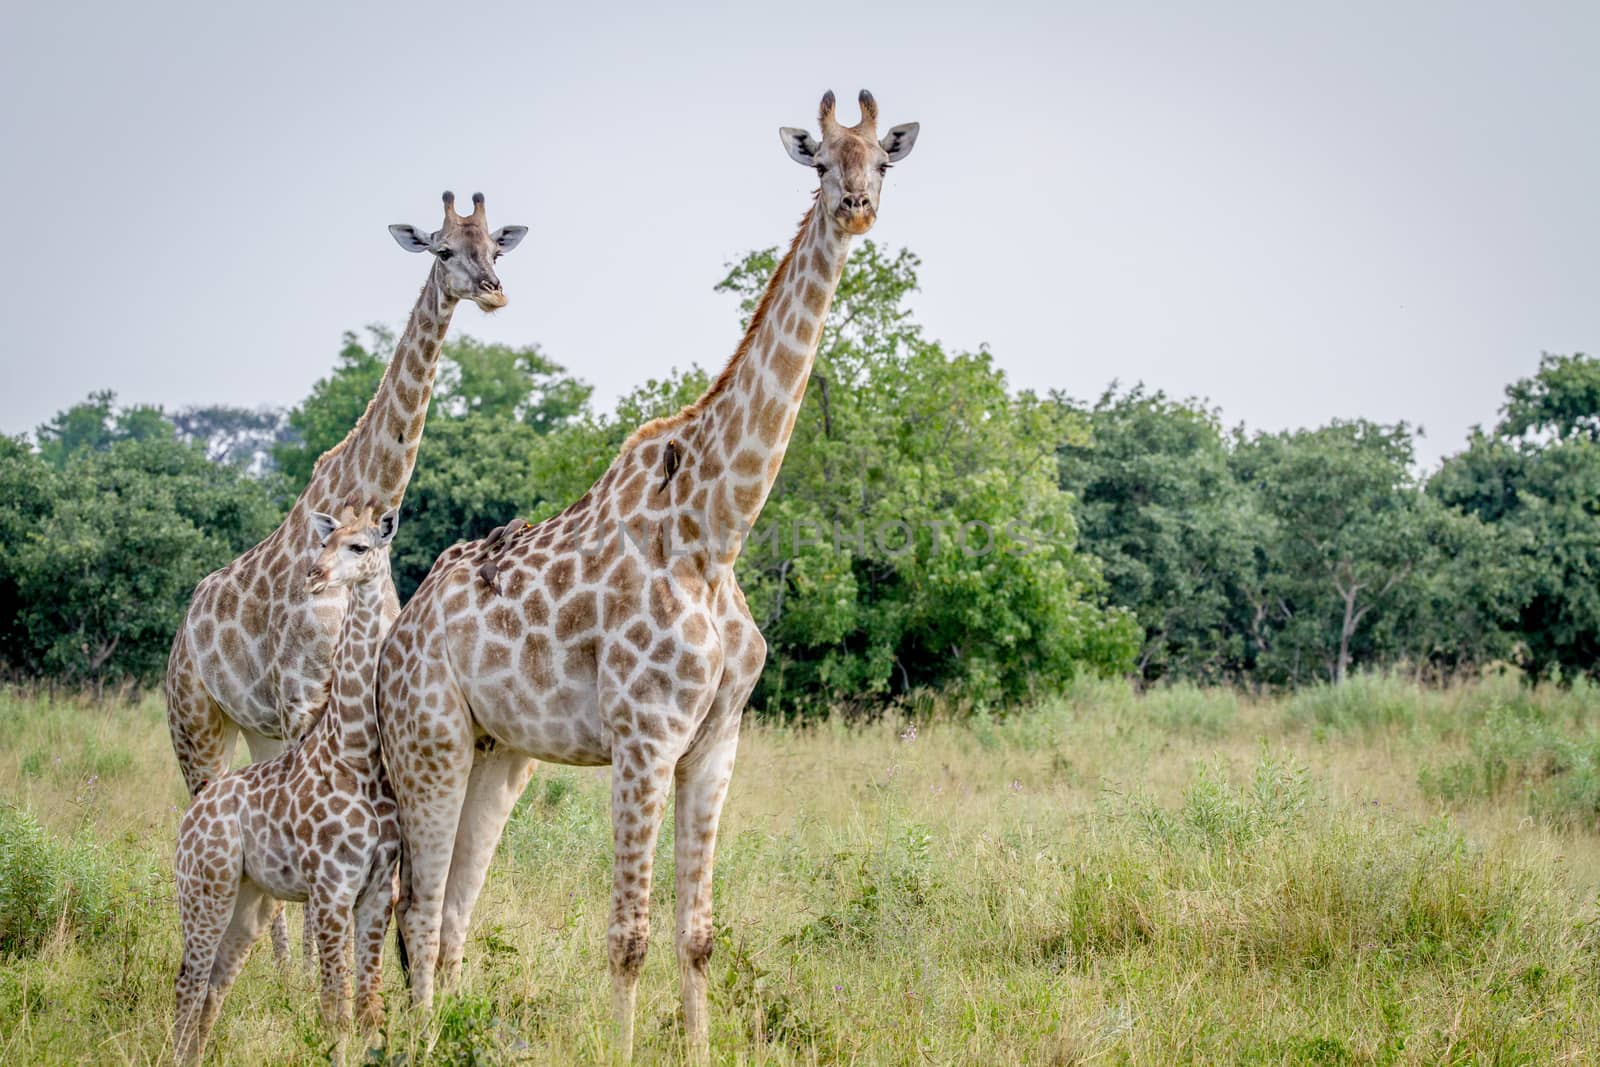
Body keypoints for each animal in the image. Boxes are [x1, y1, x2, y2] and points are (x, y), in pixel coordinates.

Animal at [164, 189, 524, 959]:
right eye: (442, 249)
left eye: (496, 248)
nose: (492, 290)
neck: (365, 491)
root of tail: (184, 626)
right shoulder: (303, 695)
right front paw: (313, 979)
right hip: (196, 721)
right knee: (209, 807)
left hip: (260, 728)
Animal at [169, 502, 403, 1067]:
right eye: (323, 542)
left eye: (359, 546)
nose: (315, 575)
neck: (356, 750)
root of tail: (191, 817)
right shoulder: (330, 888)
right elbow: (334, 1007)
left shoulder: (376, 890)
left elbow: (369, 1006)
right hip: (203, 888)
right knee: (189, 979)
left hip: (249, 902)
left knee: (214, 984)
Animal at [374, 91, 921, 1062]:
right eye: (821, 162)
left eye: (883, 161)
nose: (857, 207)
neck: (714, 532)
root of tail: (394, 641)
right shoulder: (642, 738)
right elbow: (626, 936)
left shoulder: (716, 742)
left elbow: (696, 934)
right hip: (426, 742)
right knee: (417, 907)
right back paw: (424, 1040)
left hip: (496, 755)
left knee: (452, 912)